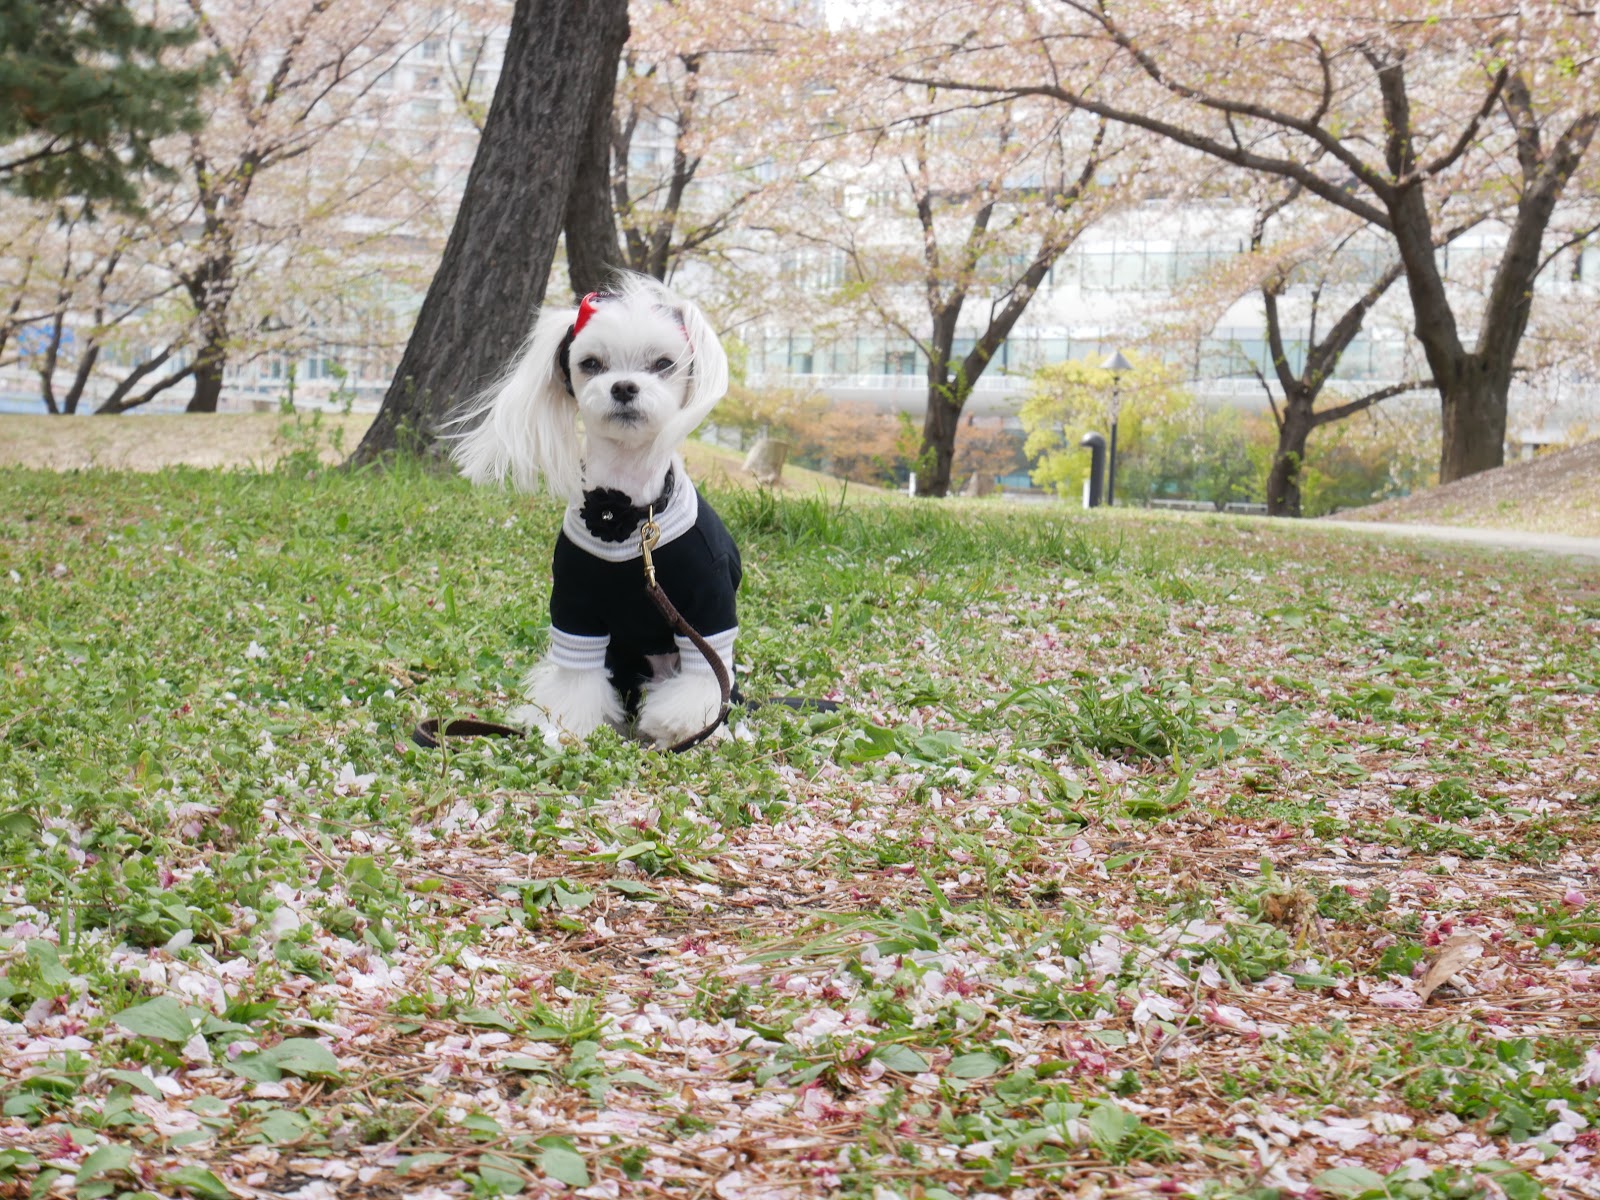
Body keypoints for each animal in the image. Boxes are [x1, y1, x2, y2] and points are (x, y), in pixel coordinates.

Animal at [451, 275, 740, 748]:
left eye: (663, 363)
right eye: (591, 363)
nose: (623, 386)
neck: (628, 514)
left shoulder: (708, 605)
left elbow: (704, 678)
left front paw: (682, 726)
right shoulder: (575, 606)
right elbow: (576, 679)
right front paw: (567, 724)